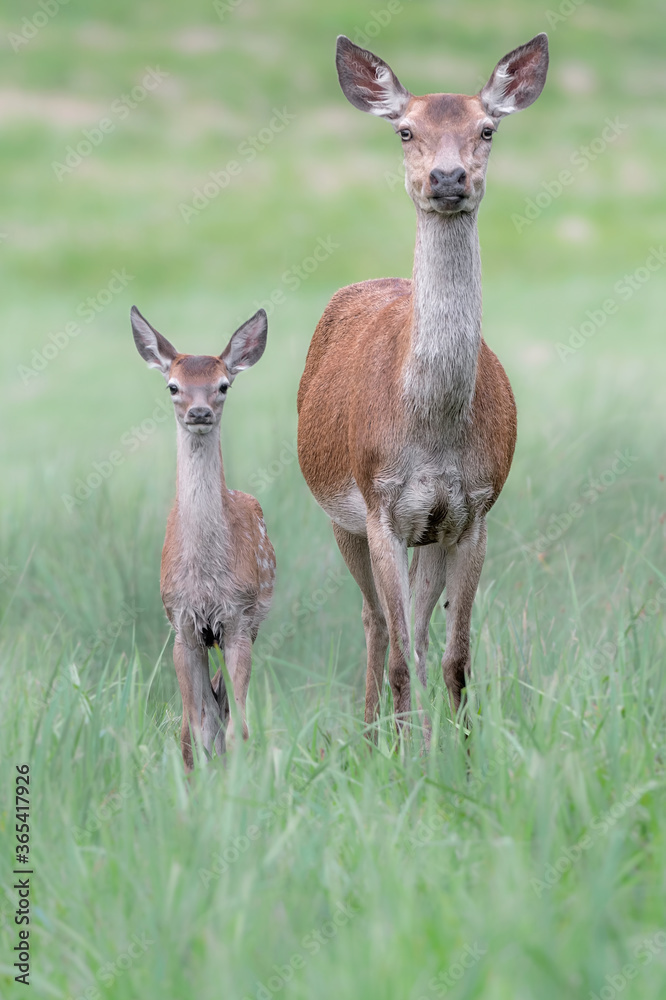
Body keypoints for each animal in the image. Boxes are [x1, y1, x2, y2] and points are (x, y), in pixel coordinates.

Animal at [131, 306, 275, 771]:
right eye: (173, 385)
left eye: (223, 385)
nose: (198, 412)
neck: (207, 577)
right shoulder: (182, 623)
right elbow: (193, 727)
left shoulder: (238, 618)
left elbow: (236, 727)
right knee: (207, 709)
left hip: (256, 619)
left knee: (226, 705)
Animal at [297, 34, 548, 742]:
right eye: (405, 130)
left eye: (487, 128)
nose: (447, 178)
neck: (432, 431)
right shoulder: (379, 504)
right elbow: (401, 654)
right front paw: (403, 757)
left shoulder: (474, 511)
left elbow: (457, 656)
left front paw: (460, 754)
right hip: (341, 515)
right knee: (378, 623)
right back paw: (369, 734)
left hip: (426, 533)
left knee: (417, 627)